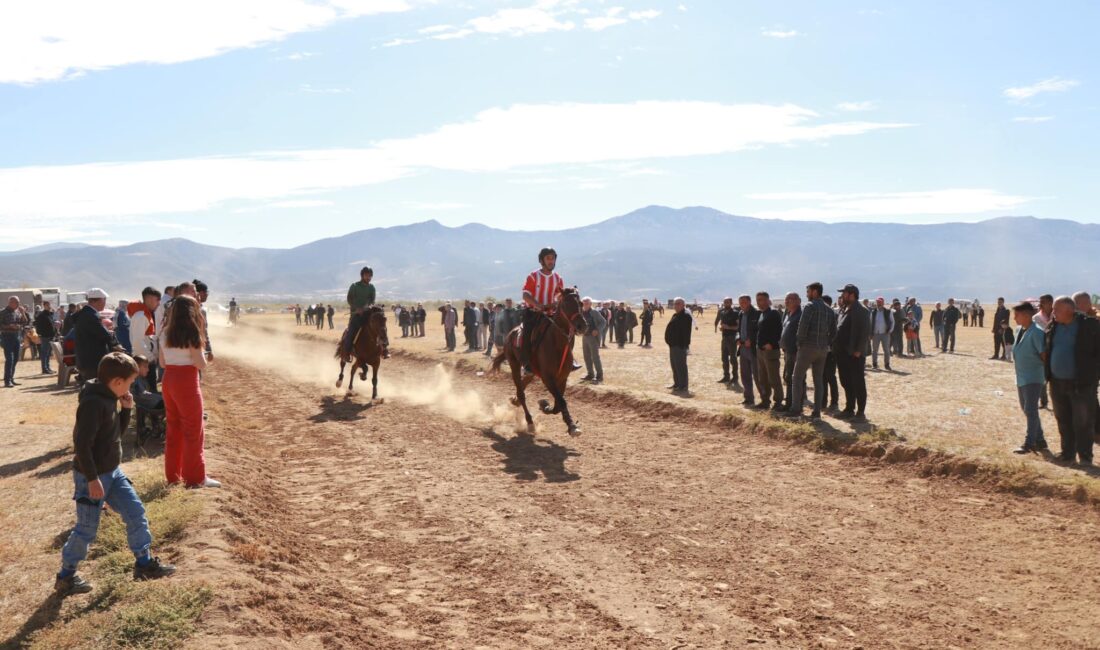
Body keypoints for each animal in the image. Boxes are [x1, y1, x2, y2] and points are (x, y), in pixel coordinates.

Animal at [492, 288, 589, 435]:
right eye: (566, 303)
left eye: (581, 303)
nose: (581, 325)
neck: (557, 344)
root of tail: (511, 333)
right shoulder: (547, 378)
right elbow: (561, 401)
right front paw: (572, 426)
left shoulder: (562, 378)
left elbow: (558, 404)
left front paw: (547, 407)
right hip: (514, 365)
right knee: (521, 393)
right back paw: (529, 422)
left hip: (531, 372)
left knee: (522, 386)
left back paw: (515, 401)